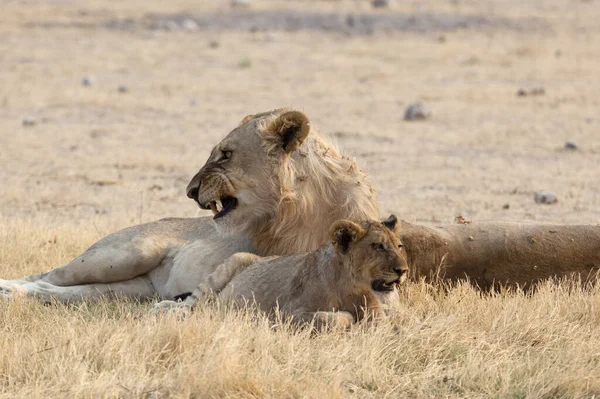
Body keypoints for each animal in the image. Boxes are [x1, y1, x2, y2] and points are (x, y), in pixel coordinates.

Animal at [1, 108, 380, 302]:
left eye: (225, 154)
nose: (189, 190)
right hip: (122, 254)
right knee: (47, 274)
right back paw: (10, 288)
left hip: (127, 290)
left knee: (58, 289)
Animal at [155, 216, 408, 332]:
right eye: (378, 246)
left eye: (399, 246)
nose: (403, 270)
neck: (354, 288)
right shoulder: (287, 313)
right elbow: (334, 318)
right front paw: (348, 317)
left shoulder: (378, 313)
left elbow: (388, 321)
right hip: (235, 260)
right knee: (193, 304)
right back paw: (164, 310)